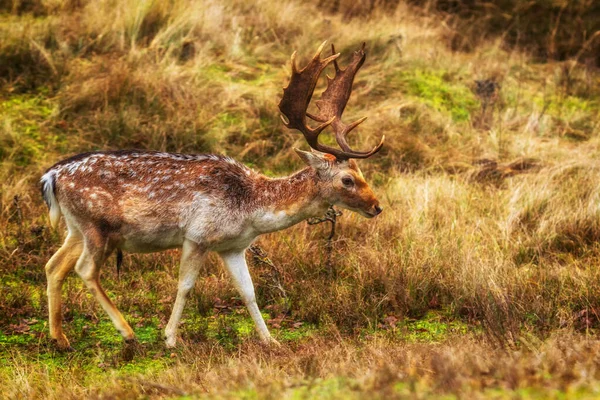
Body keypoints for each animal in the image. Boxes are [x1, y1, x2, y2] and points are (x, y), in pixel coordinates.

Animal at [41, 42, 384, 350]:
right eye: (347, 179)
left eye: (362, 172)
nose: (377, 206)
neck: (250, 209)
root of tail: (51, 177)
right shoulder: (198, 235)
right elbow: (185, 286)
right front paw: (170, 339)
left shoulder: (233, 247)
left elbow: (248, 292)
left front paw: (270, 340)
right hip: (96, 226)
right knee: (84, 269)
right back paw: (127, 333)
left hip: (76, 227)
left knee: (54, 265)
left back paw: (60, 339)